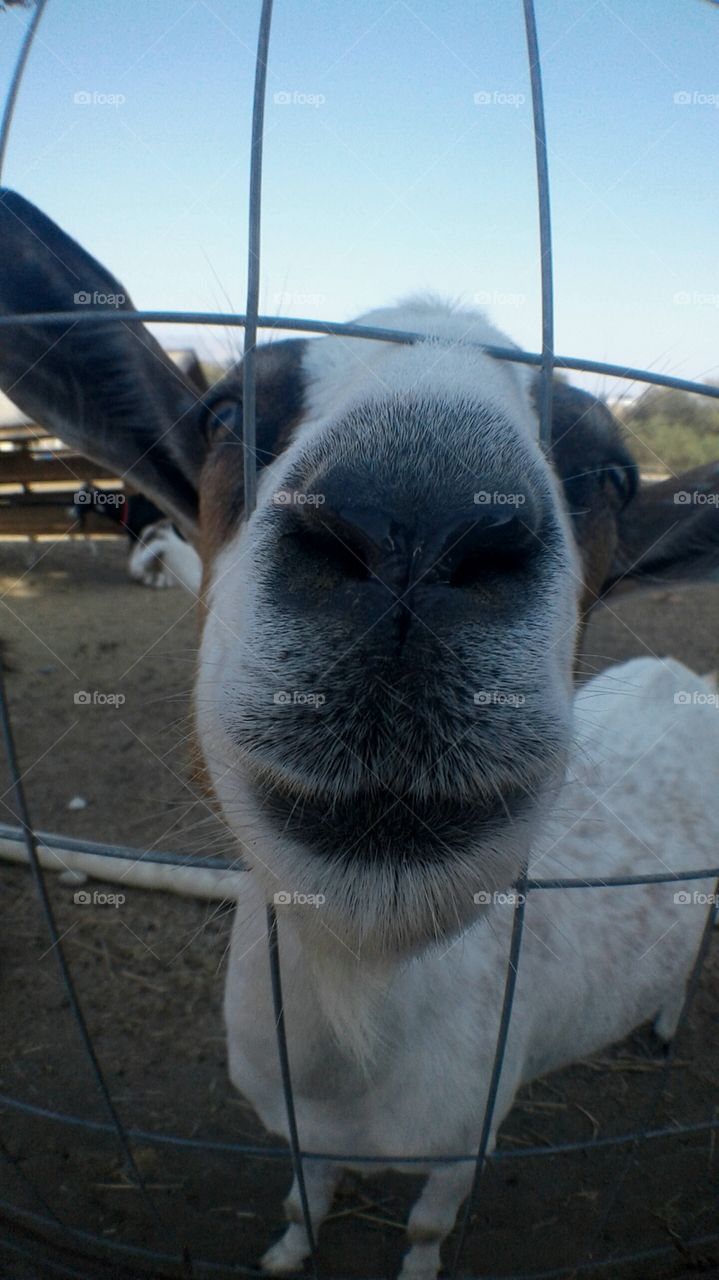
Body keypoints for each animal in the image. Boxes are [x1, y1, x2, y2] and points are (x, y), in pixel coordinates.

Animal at [0, 189, 718, 1276]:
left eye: (611, 474)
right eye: (224, 416)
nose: (413, 524)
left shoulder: (467, 1133)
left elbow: (423, 1224)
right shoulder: (293, 1121)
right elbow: (305, 1191)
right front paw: (286, 1251)